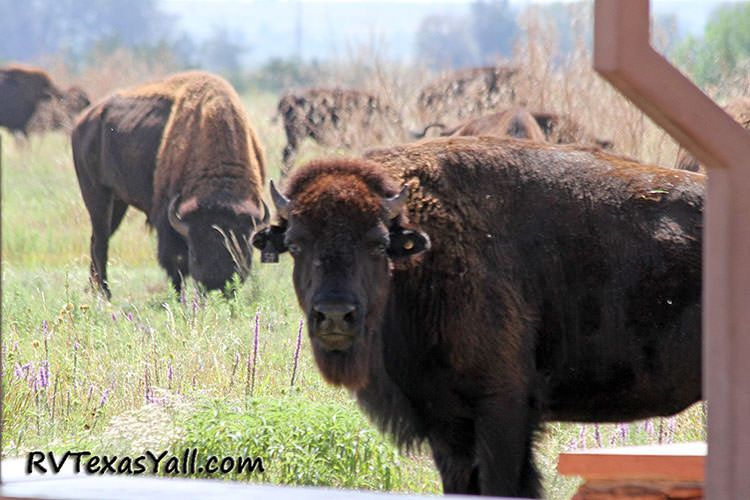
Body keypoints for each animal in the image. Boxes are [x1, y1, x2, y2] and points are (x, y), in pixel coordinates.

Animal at [71, 70, 270, 296]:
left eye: (239, 252)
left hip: (118, 202)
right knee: (101, 242)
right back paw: (105, 294)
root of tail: (82, 121)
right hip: (96, 193)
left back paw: (93, 289)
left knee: (96, 239)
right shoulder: (167, 222)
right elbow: (176, 266)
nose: (215, 284)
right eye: (195, 254)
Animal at [256, 136, 708, 496]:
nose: (335, 315)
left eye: (378, 243)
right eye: (296, 244)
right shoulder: (447, 423)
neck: (422, 255)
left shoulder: (501, 408)